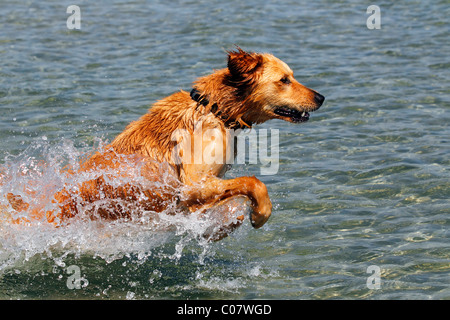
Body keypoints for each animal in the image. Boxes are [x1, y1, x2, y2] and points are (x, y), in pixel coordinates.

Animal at [6, 48, 324, 240]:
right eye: (284, 80)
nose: (321, 97)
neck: (216, 110)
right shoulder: (191, 184)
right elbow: (253, 182)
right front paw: (260, 214)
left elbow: (230, 203)